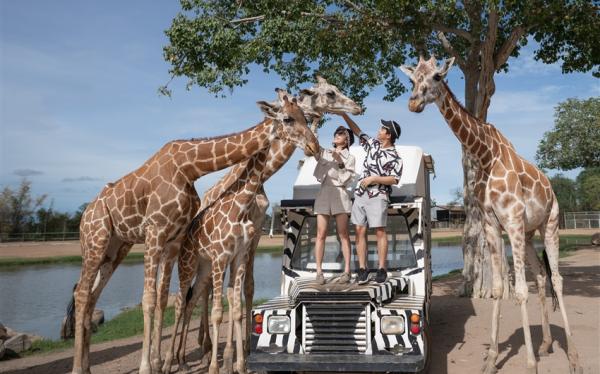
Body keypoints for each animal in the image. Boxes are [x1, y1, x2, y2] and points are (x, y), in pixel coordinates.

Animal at [67, 102, 318, 374]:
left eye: (306, 117)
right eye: (288, 118)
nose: (314, 145)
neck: (190, 167)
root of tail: (86, 213)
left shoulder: (175, 239)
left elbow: (165, 298)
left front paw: (160, 362)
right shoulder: (156, 232)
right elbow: (150, 299)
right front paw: (151, 366)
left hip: (116, 249)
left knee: (93, 297)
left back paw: (89, 366)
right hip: (95, 240)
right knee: (81, 294)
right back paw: (78, 368)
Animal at [400, 55, 584, 374]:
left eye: (437, 77)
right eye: (412, 79)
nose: (413, 103)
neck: (485, 156)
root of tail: (551, 187)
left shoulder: (511, 221)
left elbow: (519, 291)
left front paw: (530, 364)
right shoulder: (492, 224)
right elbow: (499, 289)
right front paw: (490, 359)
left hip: (549, 224)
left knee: (557, 279)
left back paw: (572, 357)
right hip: (529, 233)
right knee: (540, 276)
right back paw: (546, 344)